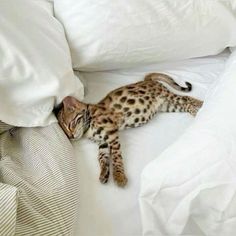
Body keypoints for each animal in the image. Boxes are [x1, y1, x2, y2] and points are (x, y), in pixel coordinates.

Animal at [56, 73, 203, 187]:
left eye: (70, 125)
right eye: (66, 134)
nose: (71, 136)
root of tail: (147, 80)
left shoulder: (112, 135)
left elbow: (116, 158)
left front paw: (119, 177)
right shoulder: (102, 142)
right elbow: (102, 158)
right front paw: (104, 173)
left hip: (167, 96)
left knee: (186, 98)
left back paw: (201, 105)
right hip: (167, 106)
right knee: (185, 105)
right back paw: (197, 110)